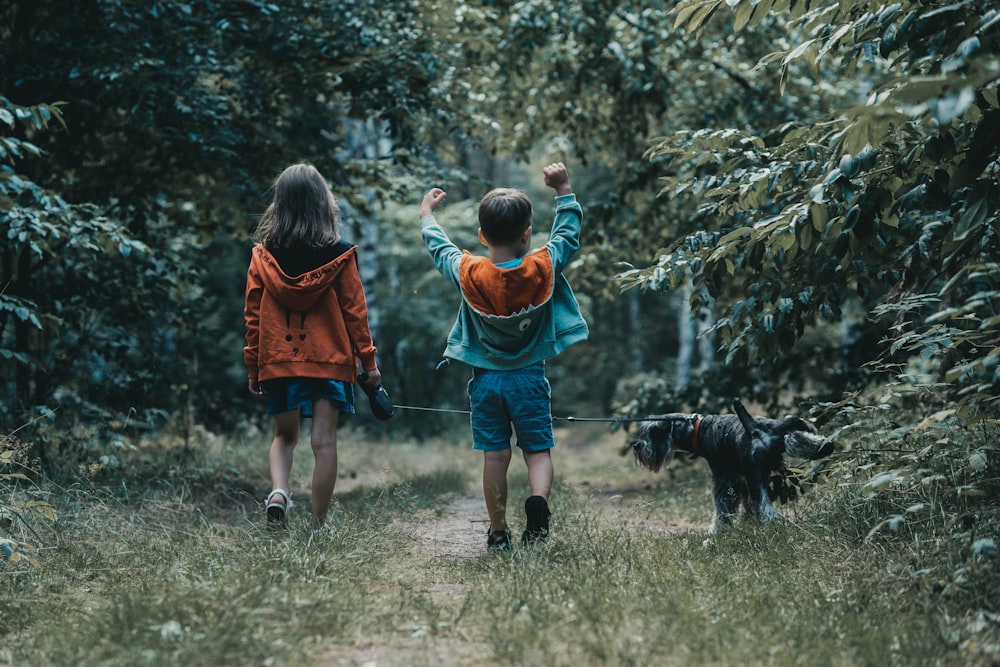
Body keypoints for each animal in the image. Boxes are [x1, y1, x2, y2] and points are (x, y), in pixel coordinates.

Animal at [632, 396, 836, 532]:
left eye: (655, 431)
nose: (636, 445)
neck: (698, 429)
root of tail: (756, 428)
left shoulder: (725, 478)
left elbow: (723, 509)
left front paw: (716, 533)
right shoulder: (742, 480)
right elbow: (745, 507)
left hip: (754, 478)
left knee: (766, 509)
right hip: (787, 434)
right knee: (796, 439)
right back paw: (825, 445)